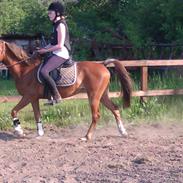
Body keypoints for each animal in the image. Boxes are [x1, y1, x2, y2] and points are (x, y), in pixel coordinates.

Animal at [0, 39, 132, 140]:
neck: (25, 70)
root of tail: (102, 65)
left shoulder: (28, 96)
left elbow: (14, 111)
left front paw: (19, 131)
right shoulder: (33, 99)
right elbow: (37, 116)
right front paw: (39, 134)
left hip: (94, 96)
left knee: (96, 115)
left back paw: (87, 136)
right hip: (102, 95)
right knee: (115, 109)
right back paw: (123, 132)